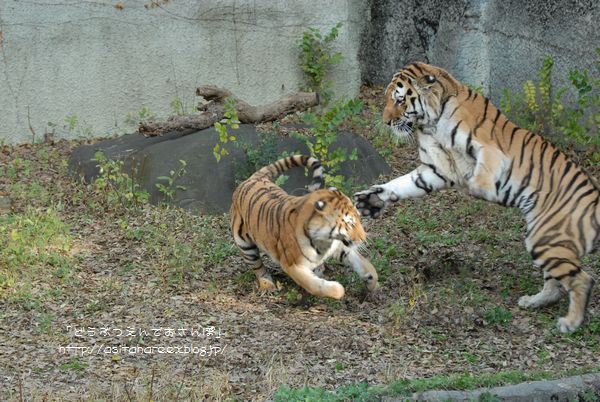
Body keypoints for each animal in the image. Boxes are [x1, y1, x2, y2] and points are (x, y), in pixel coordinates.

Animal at [231, 154, 380, 298]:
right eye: (350, 223)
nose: (363, 238)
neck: (325, 240)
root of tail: (252, 178)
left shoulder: (339, 247)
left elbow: (362, 262)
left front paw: (372, 282)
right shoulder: (293, 265)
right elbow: (315, 286)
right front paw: (338, 288)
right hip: (245, 245)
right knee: (257, 267)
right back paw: (267, 284)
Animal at [356, 61, 596, 332]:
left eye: (398, 100)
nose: (386, 122)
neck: (431, 122)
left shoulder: (488, 148)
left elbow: (482, 173)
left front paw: (477, 186)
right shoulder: (434, 170)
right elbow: (402, 183)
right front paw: (371, 200)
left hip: (545, 238)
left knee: (583, 280)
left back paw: (570, 323)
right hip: (547, 243)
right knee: (557, 283)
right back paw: (532, 302)